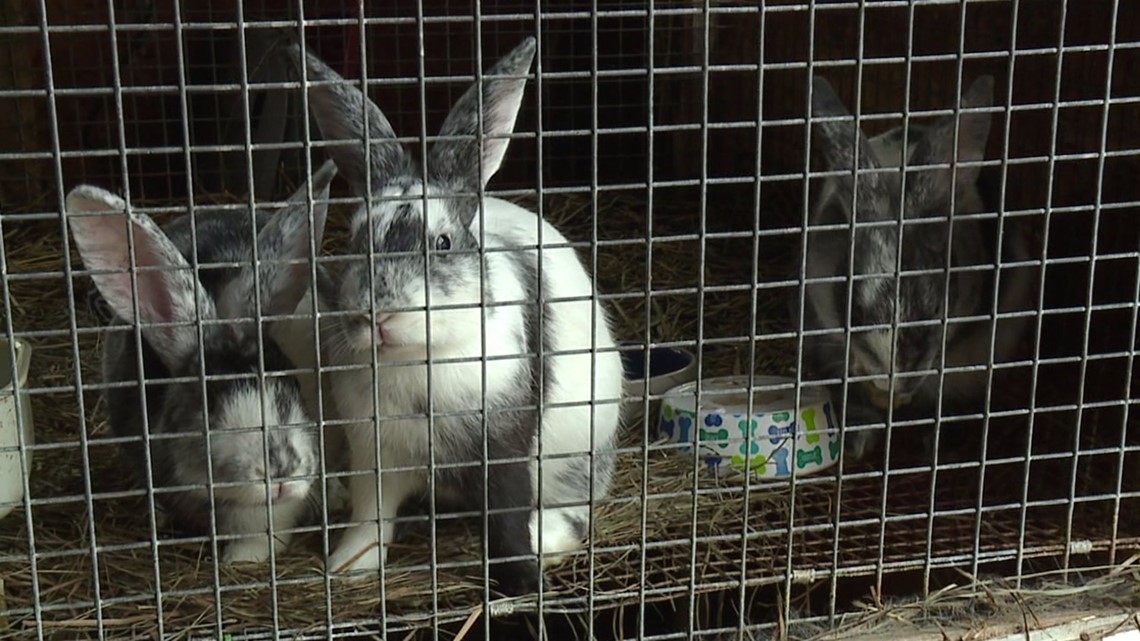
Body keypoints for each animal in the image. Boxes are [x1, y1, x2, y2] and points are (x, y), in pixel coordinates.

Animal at [280, 36, 625, 595]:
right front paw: (349, 566)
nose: (377, 315)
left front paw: (521, 581)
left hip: (576, 454)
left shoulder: (504, 447)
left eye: (442, 243)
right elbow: (371, 516)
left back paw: (546, 537)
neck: (417, 358)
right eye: (354, 240)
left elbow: (506, 519)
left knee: (575, 511)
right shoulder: (375, 453)